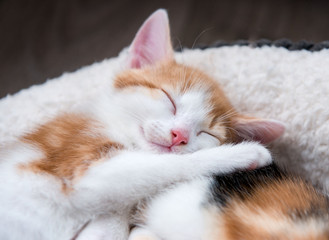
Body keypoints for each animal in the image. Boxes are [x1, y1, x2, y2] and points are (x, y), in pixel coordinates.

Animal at [0, 9, 282, 240]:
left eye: (207, 133)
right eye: (170, 99)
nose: (179, 135)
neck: (114, 126)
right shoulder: (78, 162)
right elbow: (166, 165)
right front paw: (244, 152)